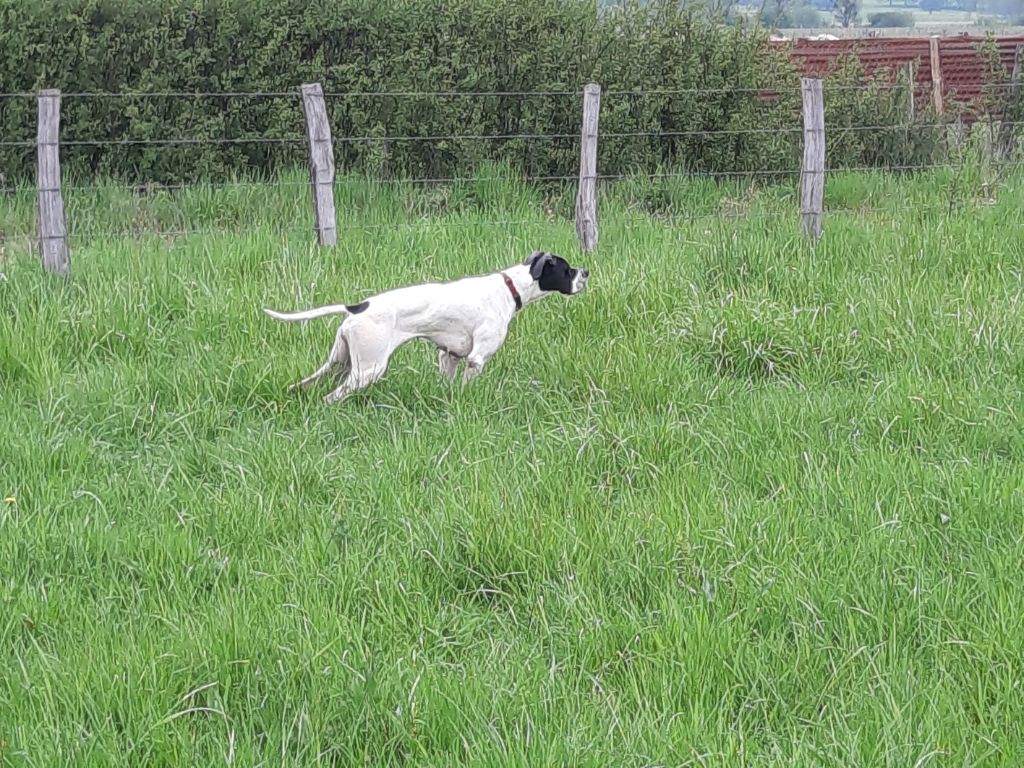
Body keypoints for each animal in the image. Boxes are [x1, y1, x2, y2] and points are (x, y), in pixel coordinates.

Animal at [260, 250, 589, 409]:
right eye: (567, 269)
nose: (585, 272)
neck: (509, 289)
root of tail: (357, 307)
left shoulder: (448, 356)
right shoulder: (476, 360)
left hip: (338, 364)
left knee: (304, 385)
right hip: (367, 370)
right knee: (331, 397)